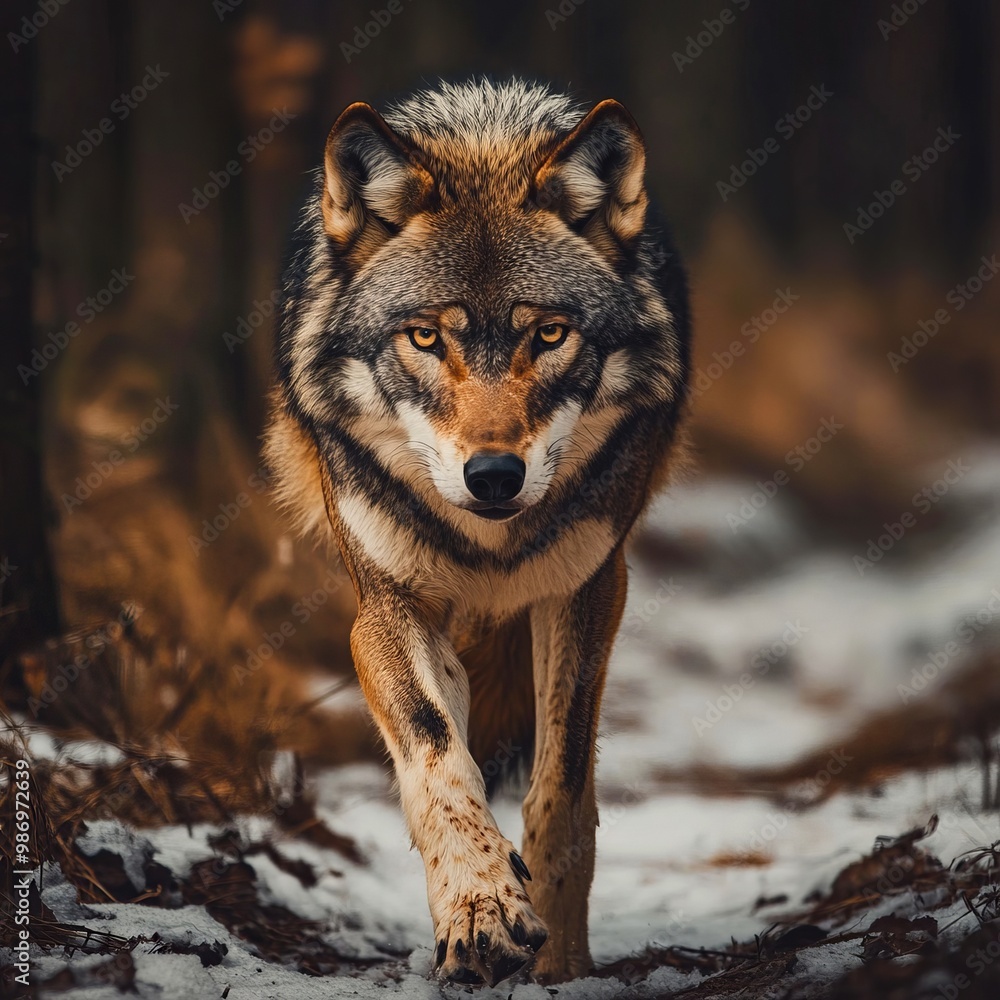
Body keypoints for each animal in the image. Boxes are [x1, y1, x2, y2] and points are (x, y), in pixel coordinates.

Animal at [264, 78, 690, 985]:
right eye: (427, 336)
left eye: (550, 333)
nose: (493, 476)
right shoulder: (385, 611)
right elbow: (437, 755)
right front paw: (481, 909)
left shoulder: (588, 590)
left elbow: (562, 788)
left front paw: (560, 961)